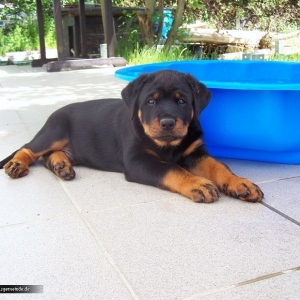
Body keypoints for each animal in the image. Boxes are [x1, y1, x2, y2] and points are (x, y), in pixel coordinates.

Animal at [0, 69, 262, 204]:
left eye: (182, 101)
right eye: (150, 101)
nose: (167, 123)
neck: (168, 145)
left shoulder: (196, 152)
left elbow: (219, 167)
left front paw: (241, 183)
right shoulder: (138, 161)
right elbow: (172, 169)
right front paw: (197, 183)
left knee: (47, 157)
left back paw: (61, 166)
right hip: (55, 130)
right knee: (29, 148)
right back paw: (17, 165)